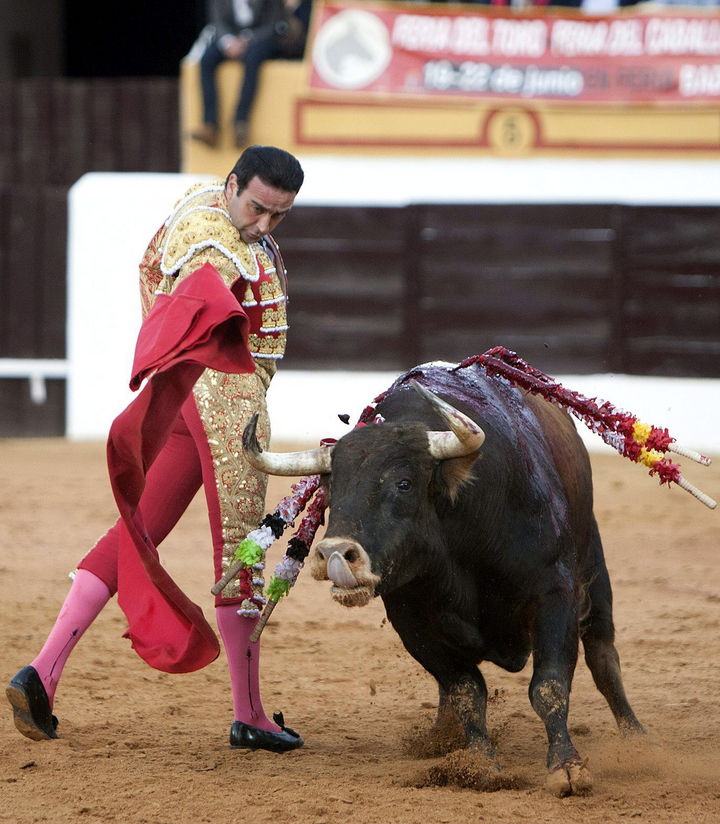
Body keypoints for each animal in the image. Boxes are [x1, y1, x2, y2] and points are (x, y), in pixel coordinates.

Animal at [242, 361, 645, 796]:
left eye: (404, 483)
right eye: (330, 486)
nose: (335, 553)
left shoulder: (555, 594)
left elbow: (549, 685)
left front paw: (567, 768)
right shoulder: (412, 622)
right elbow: (466, 691)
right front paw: (480, 763)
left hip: (594, 567)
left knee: (603, 656)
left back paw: (636, 739)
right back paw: (442, 735)